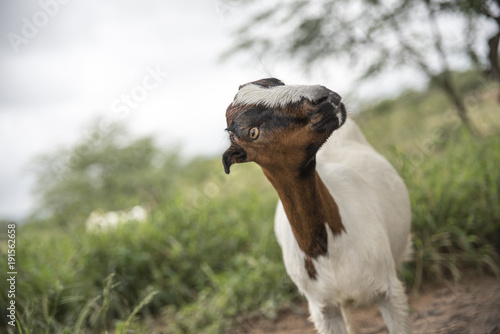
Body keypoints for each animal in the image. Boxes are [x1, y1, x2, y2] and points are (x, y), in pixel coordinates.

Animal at [222, 79, 410, 334]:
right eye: (253, 132)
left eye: (277, 83)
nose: (323, 96)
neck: (328, 249)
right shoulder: (323, 309)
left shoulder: (389, 292)